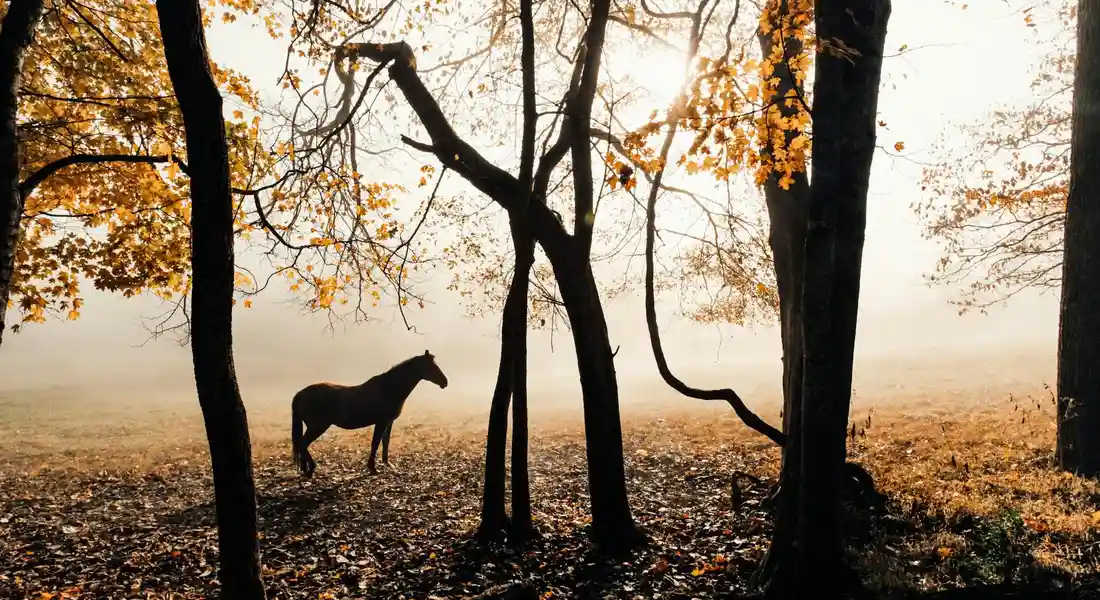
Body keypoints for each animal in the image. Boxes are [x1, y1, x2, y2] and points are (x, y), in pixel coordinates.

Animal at [290, 350, 449, 478]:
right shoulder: (381, 422)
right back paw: (311, 469)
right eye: (431, 367)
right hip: (317, 427)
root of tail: (301, 393)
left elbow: (385, 442)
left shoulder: (389, 422)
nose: (445, 382)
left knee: (301, 445)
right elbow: (375, 443)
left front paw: (387, 464)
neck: (389, 388)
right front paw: (373, 468)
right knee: (302, 443)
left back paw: (305, 469)